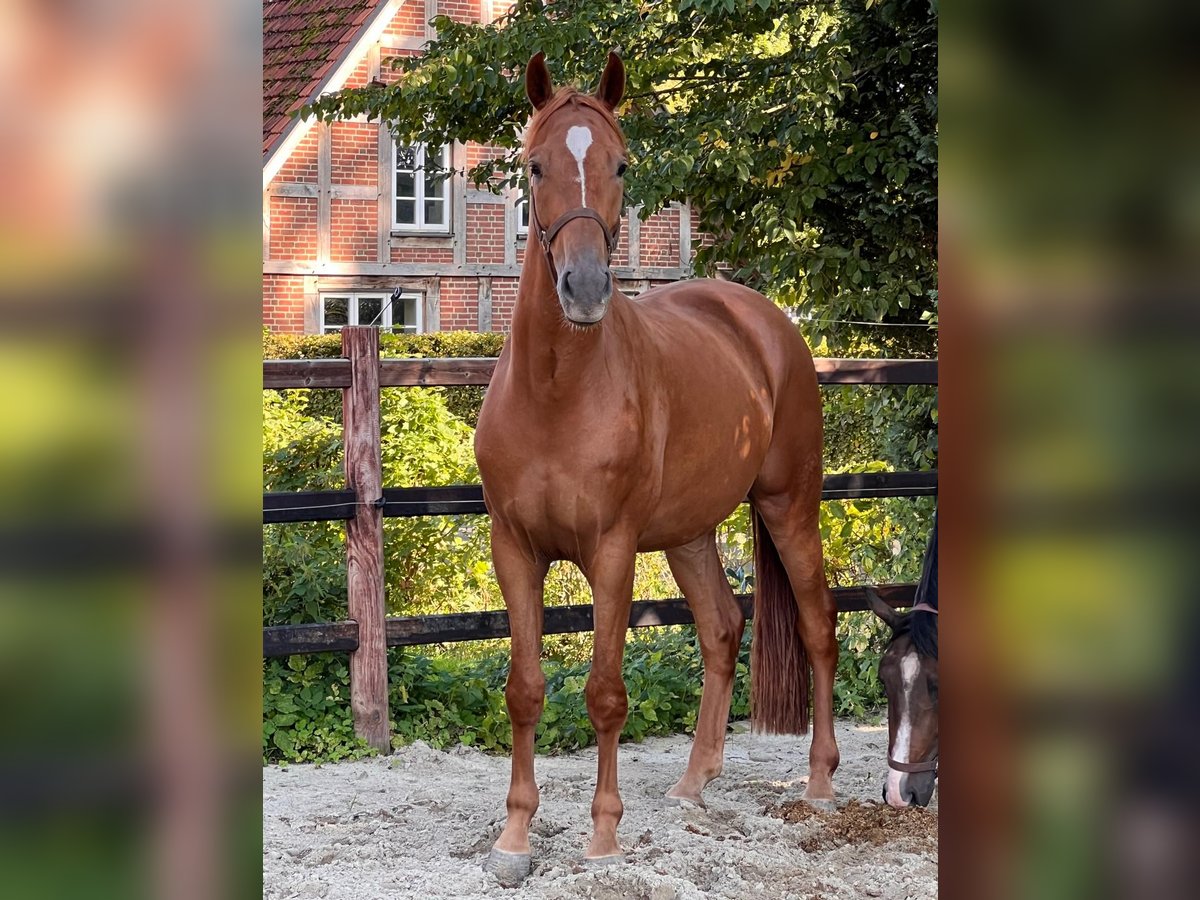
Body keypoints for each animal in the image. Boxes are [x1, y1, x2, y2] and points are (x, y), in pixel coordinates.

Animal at [472, 52, 840, 883]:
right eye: (534, 164)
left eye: (621, 164)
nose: (584, 289)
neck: (556, 391)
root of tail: (766, 322)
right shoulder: (515, 548)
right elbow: (524, 690)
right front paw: (513, 838)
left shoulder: (610, 552)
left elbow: (606, 693)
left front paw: (603, 836)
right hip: (690, 534)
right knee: (722, 630)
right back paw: (694, 782)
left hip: (789, 506)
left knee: (818, 628)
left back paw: (820, 782)